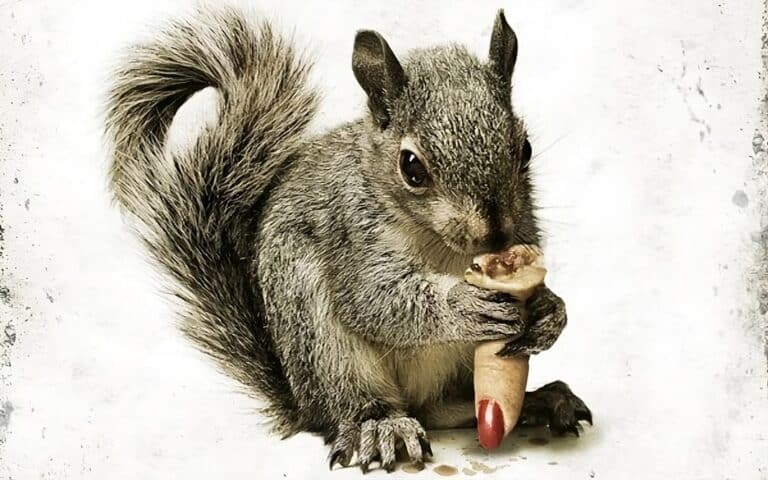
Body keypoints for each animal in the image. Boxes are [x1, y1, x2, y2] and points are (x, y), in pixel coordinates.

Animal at [105, 6, 591, 473]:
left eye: (525, 148)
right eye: (411, 167)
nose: (494, 234)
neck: (447, 251)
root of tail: (303, 405)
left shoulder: (525, 228)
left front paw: (550, 311)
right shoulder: (351, 233)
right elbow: (374, 299)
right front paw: (463, 305)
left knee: (443, 410)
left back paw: (539, 401)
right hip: (318, 336)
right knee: (359, 403)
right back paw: (379, 425)